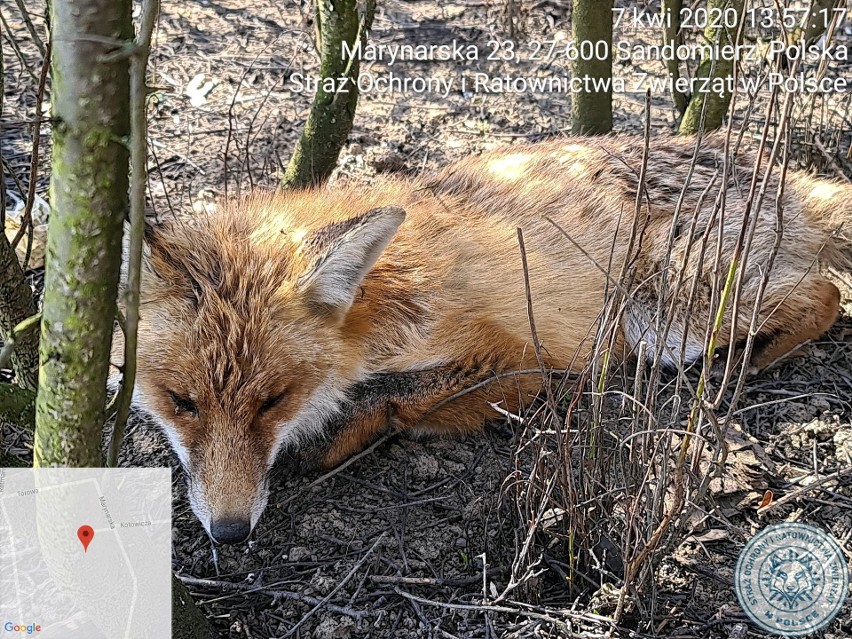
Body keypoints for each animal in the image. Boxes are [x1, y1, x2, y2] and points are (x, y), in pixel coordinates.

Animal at [121, 132, 852, 544]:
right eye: (183, 403)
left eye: (273, 401)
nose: (229, 532)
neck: (369, 314)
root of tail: (776, 170)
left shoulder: (515, 357)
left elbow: (400, 400)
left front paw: (331, 436)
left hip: (665, 321)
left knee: (827, 294)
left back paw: (750, 364)